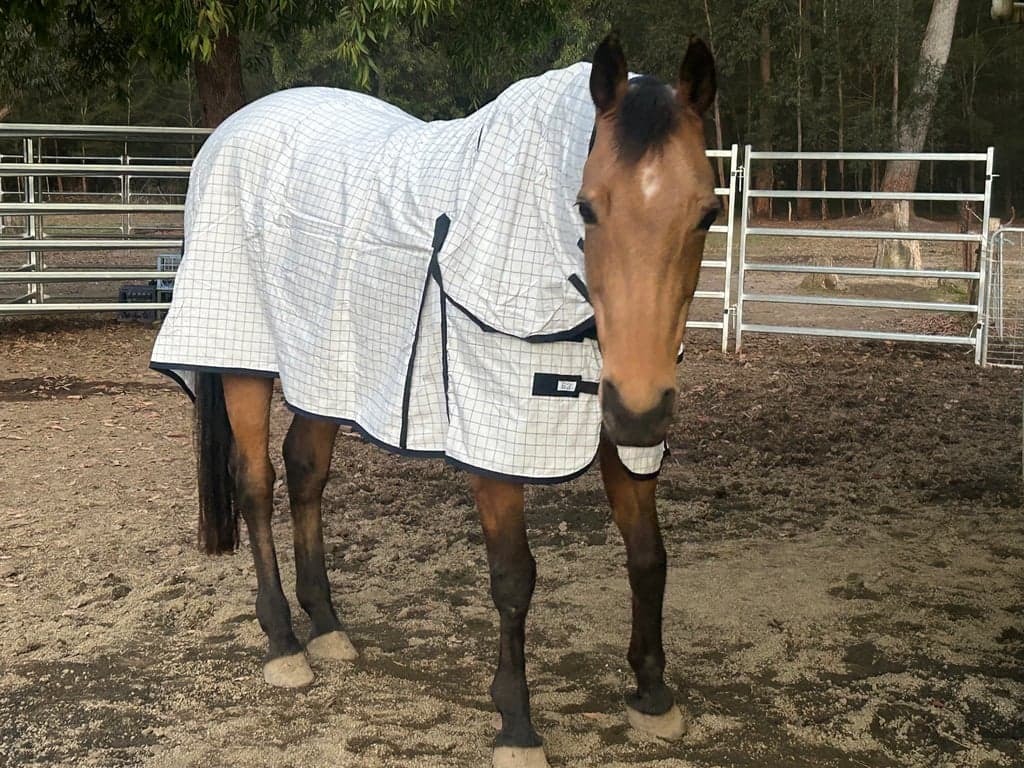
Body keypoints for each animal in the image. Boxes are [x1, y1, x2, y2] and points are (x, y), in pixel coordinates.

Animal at [151, 33, 719, 768]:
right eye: (587, 208)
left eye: (707, 213)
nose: (643, 410)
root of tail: (230, 133)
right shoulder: (495, 434)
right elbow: (513, 578)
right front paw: (516, 725)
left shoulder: (622, 432)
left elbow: (649, 556)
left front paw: (652, 695)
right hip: (244, 359)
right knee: (255, 483)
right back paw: (283, 643)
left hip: (325, 368)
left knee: (306, 472)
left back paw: (326, 625)